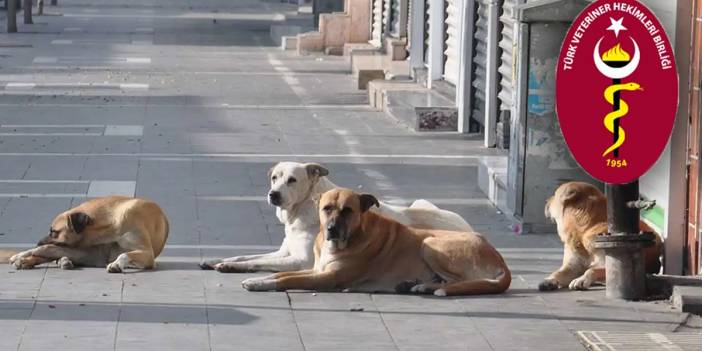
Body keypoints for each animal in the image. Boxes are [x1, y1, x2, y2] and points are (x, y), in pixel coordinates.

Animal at [7, 197, 169, 274]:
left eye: (54, 232)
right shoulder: (92, 252)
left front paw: (116, 264)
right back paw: (25, 259)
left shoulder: (147, 254)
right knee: (51, 252)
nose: (37, 242)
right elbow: (47, 248)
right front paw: (23, 254)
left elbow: (124, 254)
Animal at [204, 162, 478, 276]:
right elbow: (245, 256)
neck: (302, 210)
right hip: (420, 202)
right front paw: (218, 260)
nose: (273, 194)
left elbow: (257, 262)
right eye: (275, 178)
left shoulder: (301, 261)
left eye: (292, 180)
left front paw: (229, 266)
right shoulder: (284, 252)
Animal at [242, 188, 512, 296]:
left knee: (461, 281)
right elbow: (280, 275)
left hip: (430, 243)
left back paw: (426, 287)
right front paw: (258, 279)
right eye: (327, 208)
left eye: (348, 210)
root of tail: (500, 259)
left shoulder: (326, 278)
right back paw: (417, 285)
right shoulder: (316, 269)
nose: (331, 229)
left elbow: (286, 280)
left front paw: (258, 284)